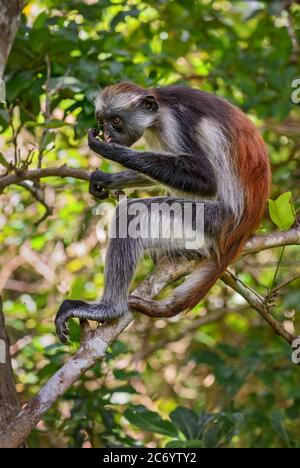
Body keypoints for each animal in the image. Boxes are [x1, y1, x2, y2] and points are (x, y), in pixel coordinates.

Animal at [54, 81, 272, 344]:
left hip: (212, 219)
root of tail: (242, 230)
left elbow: (207, 181)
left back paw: (110, 309)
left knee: (132, 213)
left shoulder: (177, 123)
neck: (161, 107)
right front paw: (106, 179)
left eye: (116, 120)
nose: (108, 134)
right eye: (101, 121)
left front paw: (111, 151)